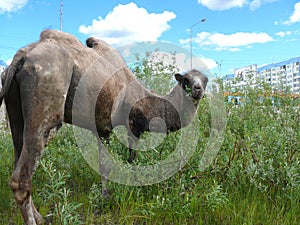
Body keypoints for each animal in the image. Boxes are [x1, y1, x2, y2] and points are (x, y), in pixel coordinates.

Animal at [0, 30, 207, 225]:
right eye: (186, 81)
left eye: (205, 80)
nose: (198, 90)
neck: (148, 102)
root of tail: (21, 57)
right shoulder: (133, 126)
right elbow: (131, 160)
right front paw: (131, 189)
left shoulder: (102, 128)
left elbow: (104, 164)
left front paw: (105, 197)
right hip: (46, 102)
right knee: (21, 179)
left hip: (15, 113)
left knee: (18, 159)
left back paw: (41, 217)